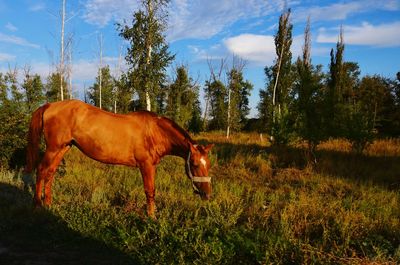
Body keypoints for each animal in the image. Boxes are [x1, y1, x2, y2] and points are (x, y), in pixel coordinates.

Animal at [24, 99, 212, 217]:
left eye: (208, 165)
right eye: (194, 164)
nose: (207, 194)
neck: (154, 132)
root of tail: (49, 106)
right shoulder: (146, 165)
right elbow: (150, 190)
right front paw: (152, 217)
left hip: (63, 148)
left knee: (50, 172)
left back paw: (48, 204)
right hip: (53, 149)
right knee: (41, 170)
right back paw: (37, 205)